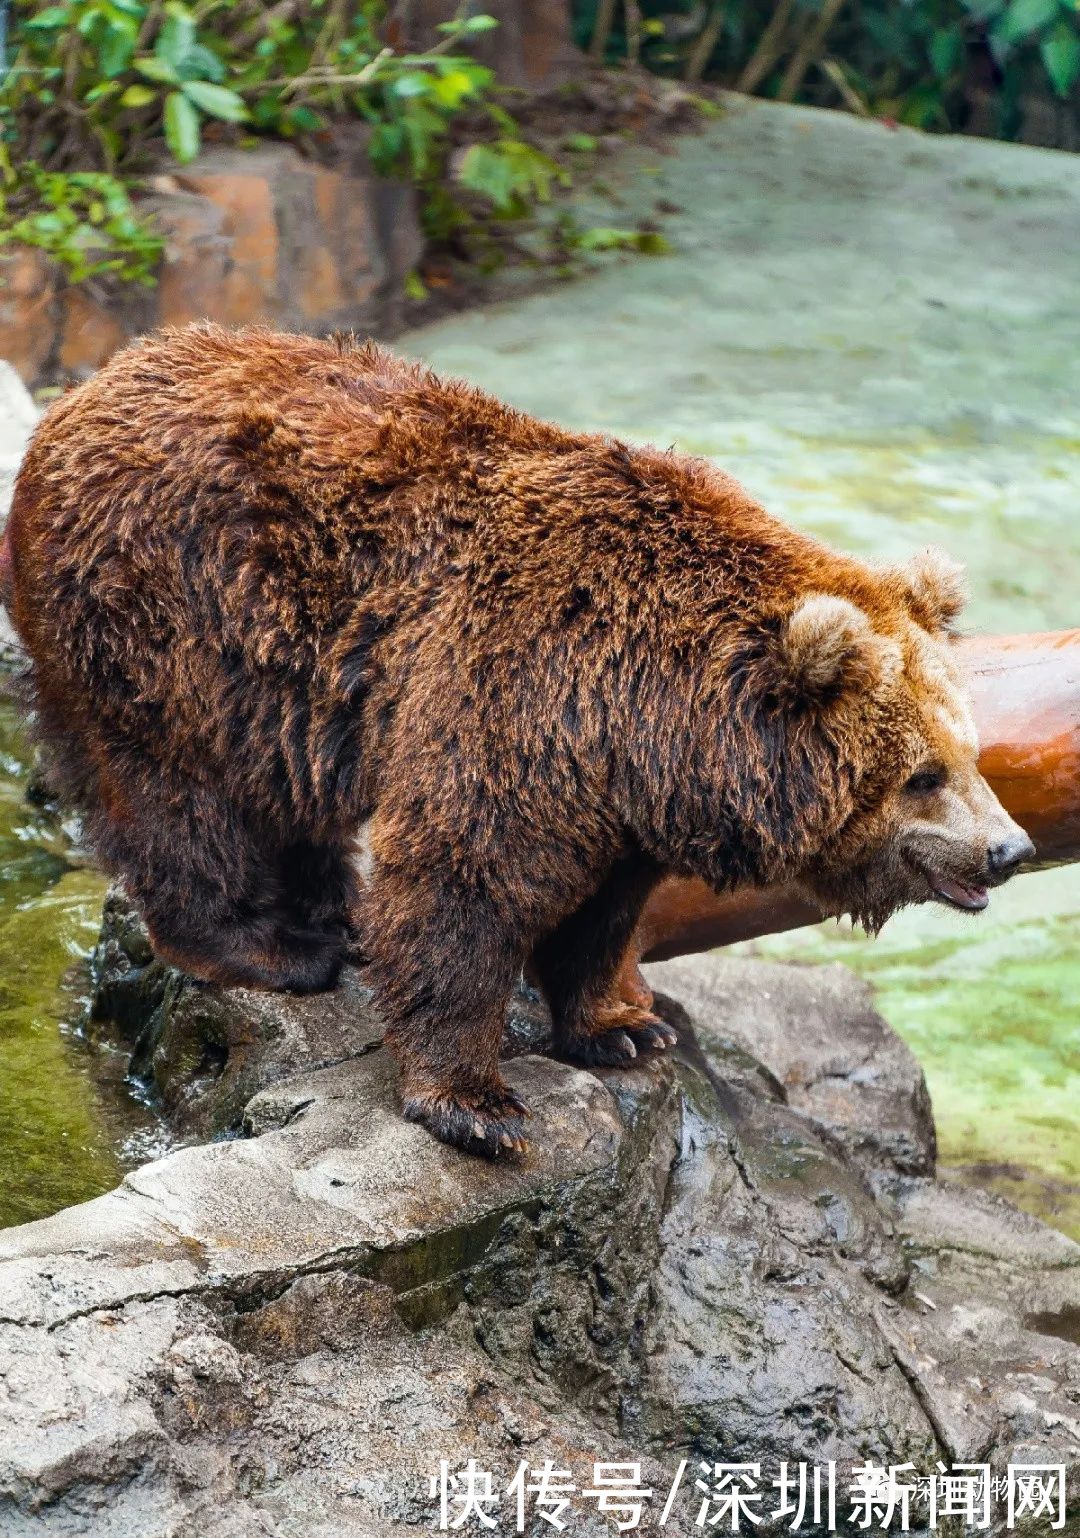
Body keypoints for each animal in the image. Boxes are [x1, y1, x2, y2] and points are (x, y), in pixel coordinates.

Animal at [8, 327, 1033, 1156]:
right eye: (921, 774)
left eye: (972, 751)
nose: (1008, 848)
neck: (660, 713)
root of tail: (87, 388)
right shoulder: (521, 693)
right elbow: (465, 881)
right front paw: (476, 1103)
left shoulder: (620, 789)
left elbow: (604, 909)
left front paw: (623, 1027)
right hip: (170, 618)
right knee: (176, 796)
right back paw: (269, 946)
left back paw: (330, 911)